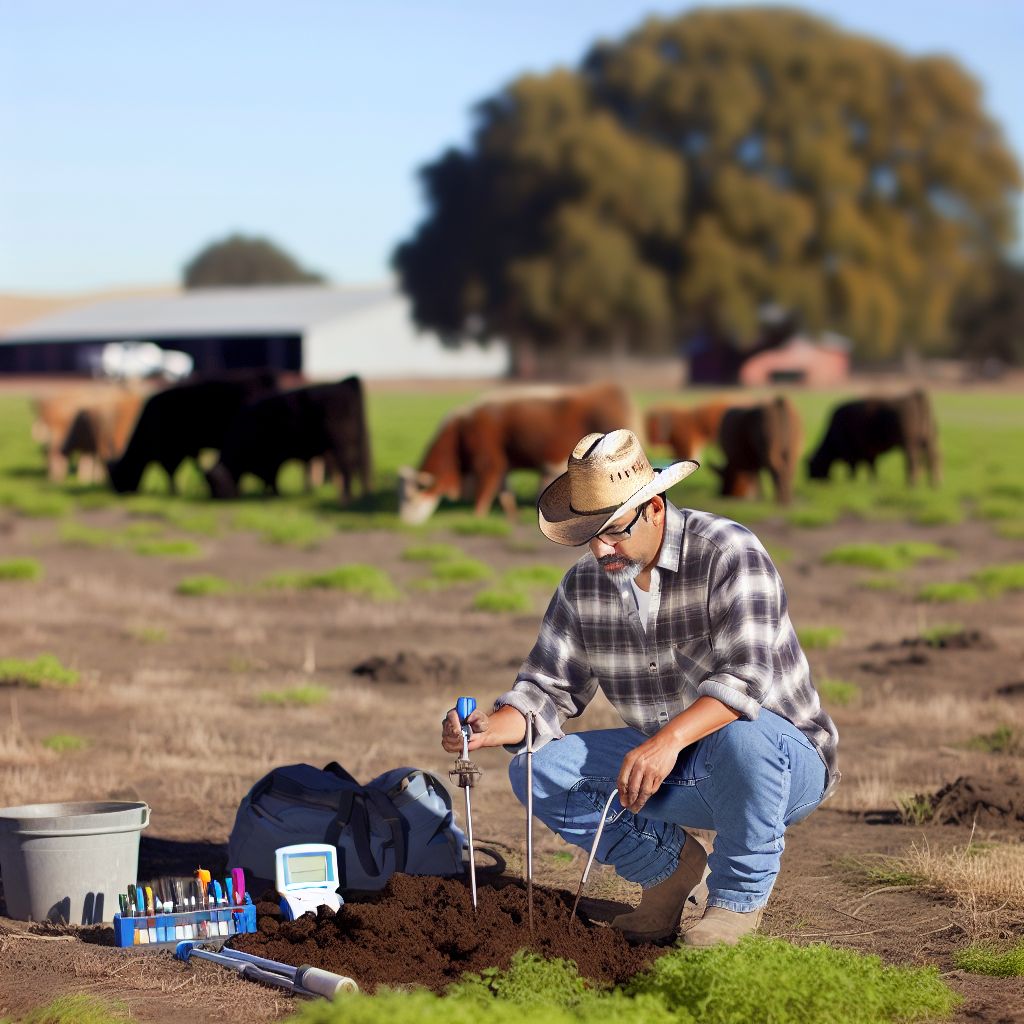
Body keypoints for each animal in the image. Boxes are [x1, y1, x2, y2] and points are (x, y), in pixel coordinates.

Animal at [105, 370, 278, 493]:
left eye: (117, 476)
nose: (119, 491)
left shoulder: (171, 453)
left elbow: (171, 472)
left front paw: (175, 491)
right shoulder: (189, 450)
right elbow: (195, 466)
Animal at [203, 376, 372, 503]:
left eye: (214, 485)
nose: (214, 498)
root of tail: (345, 384)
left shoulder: (270, 460)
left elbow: (271, 478)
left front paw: (272, 495)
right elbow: (271, 479)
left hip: (341, 446)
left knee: (347, 469)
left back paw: (346, 496)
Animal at [397, 385, 630, 528]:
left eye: (410, 497)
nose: (402, 522)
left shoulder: (489, 464)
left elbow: (484, 493)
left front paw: (477, 518)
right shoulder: (503, 467)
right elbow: (505, 493)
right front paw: (512, 516)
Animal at [806, 391, 942, 487]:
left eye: (812, 465)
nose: (810, 480)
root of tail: (914, 395)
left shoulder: (851, 455)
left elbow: (853, 470)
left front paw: (851, 482)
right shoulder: (870, 454)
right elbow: (872, 468)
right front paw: (873, 482)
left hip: (910, 444)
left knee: (913, 460)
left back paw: (912, 483)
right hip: (930, 440)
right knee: (933, 457)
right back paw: (934, 484)